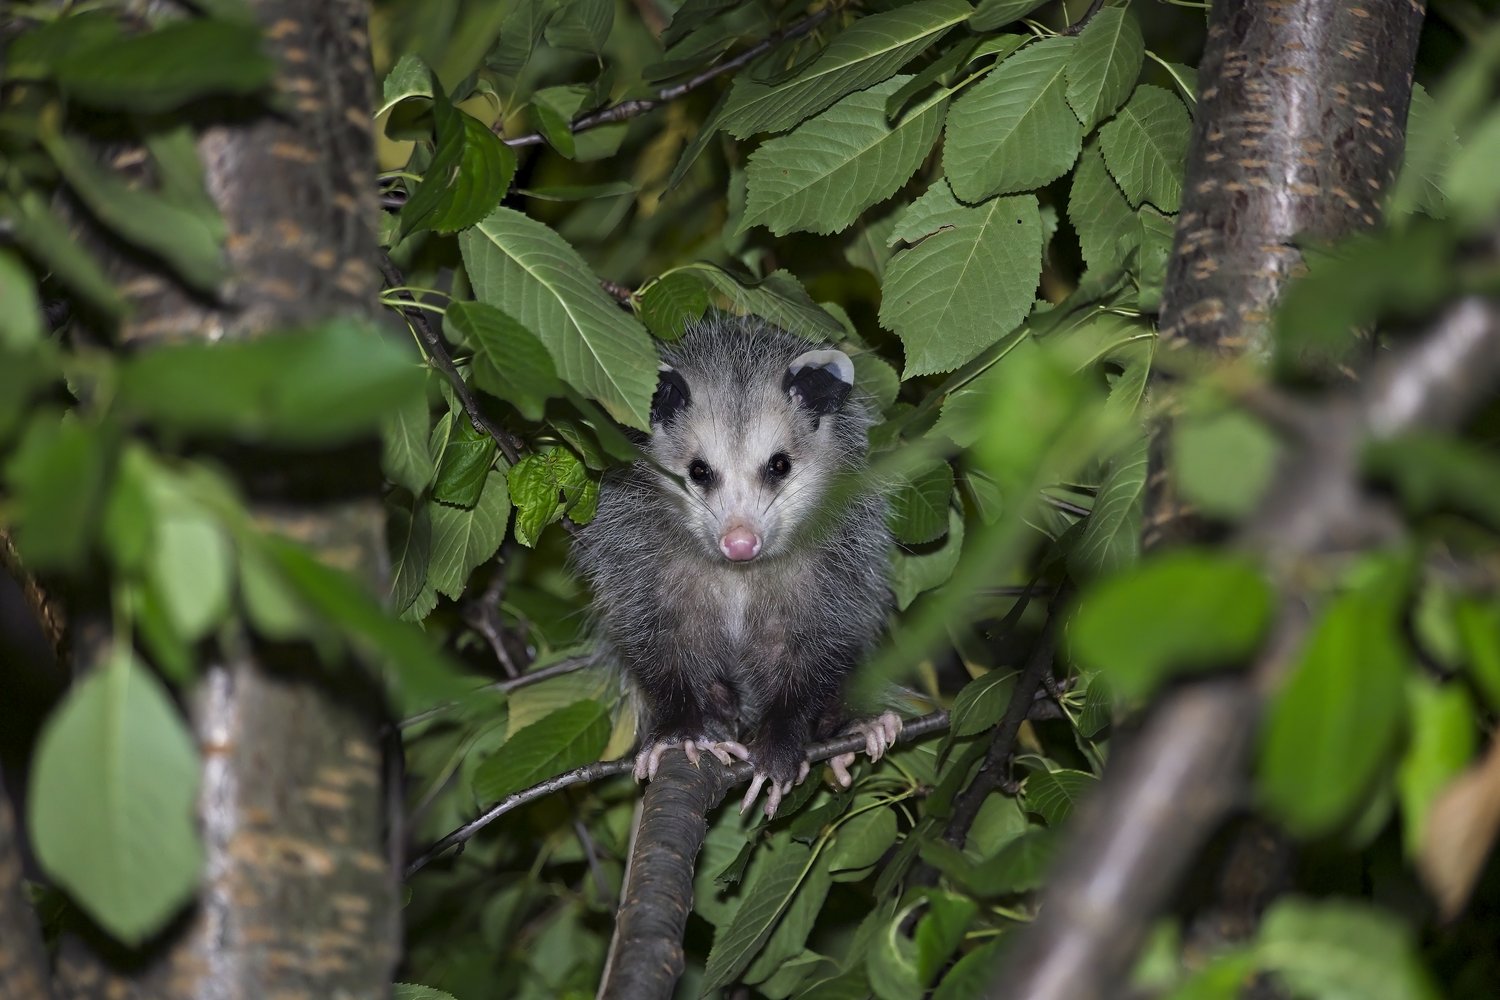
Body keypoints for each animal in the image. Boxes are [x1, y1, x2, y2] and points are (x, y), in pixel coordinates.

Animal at [573, 316, 900, 816]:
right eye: (698, 471)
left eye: (779, 464)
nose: (740, 543)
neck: (740, 578)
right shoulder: (633, 554)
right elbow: (655, 644)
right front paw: (680, 734)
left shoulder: (839, 564)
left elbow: (817, 650)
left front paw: (779, 749)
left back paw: (854, 728)